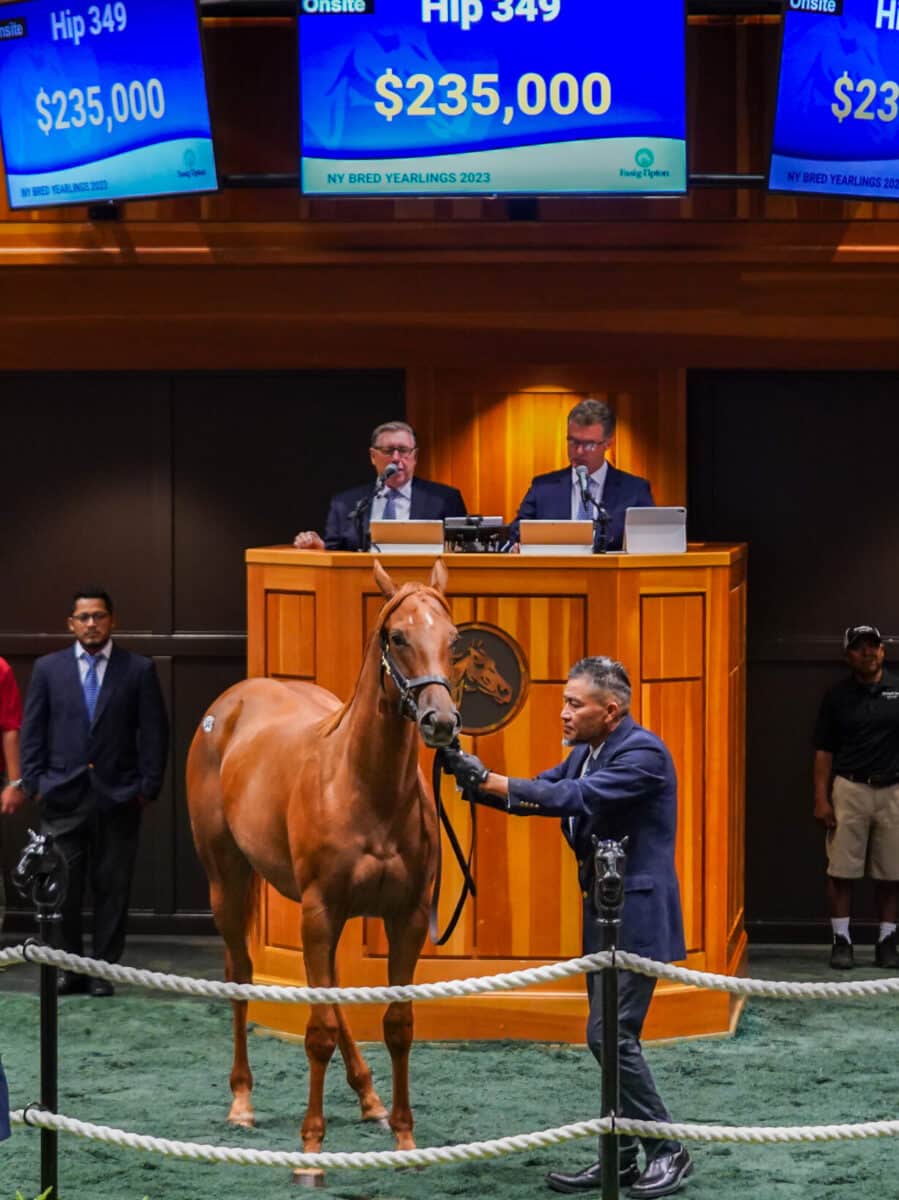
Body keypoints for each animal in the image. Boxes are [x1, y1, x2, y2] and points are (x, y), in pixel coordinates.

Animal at [184, 559, 458, 1171]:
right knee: (242, 974)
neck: (363, 787)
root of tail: (230, 704)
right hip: (227, 881)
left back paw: (370, 1098)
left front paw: (404, 1136)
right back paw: (242, 1102)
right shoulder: (319, 911)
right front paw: (311, 1145)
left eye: (453, 639)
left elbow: (396, 1023)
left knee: (331, 991)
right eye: (397, 636)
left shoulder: (405, 917)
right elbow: (316, 1031)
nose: (440, 721)